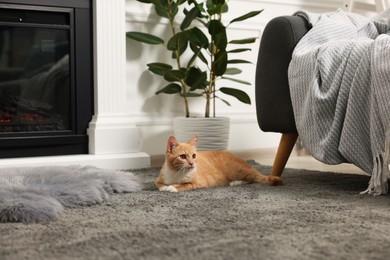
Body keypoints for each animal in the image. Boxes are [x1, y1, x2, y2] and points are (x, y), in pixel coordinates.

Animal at [156, 135, 284, 192]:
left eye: (194, 156)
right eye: (182, 156)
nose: (192, 164)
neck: (176, 172)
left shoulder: (200, 182)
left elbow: (185, 185)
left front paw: (172, 187)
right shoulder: (159, 179)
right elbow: (160, 185)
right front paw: (165, 187)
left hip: (236, 171)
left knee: (252, 178)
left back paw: (236, 182)